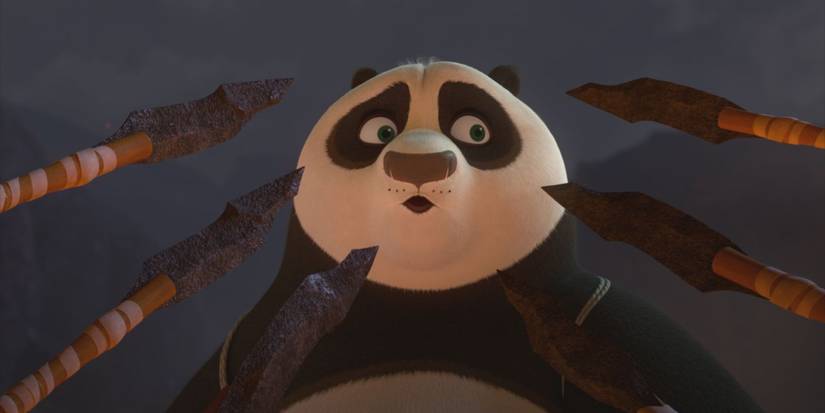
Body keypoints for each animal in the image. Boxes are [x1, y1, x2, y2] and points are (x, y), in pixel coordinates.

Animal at [168, 61, 764, 412]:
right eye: (378, 129)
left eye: (475, 129)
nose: (419, 166)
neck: (424, 301)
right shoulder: (257, 343)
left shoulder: (594, 322)